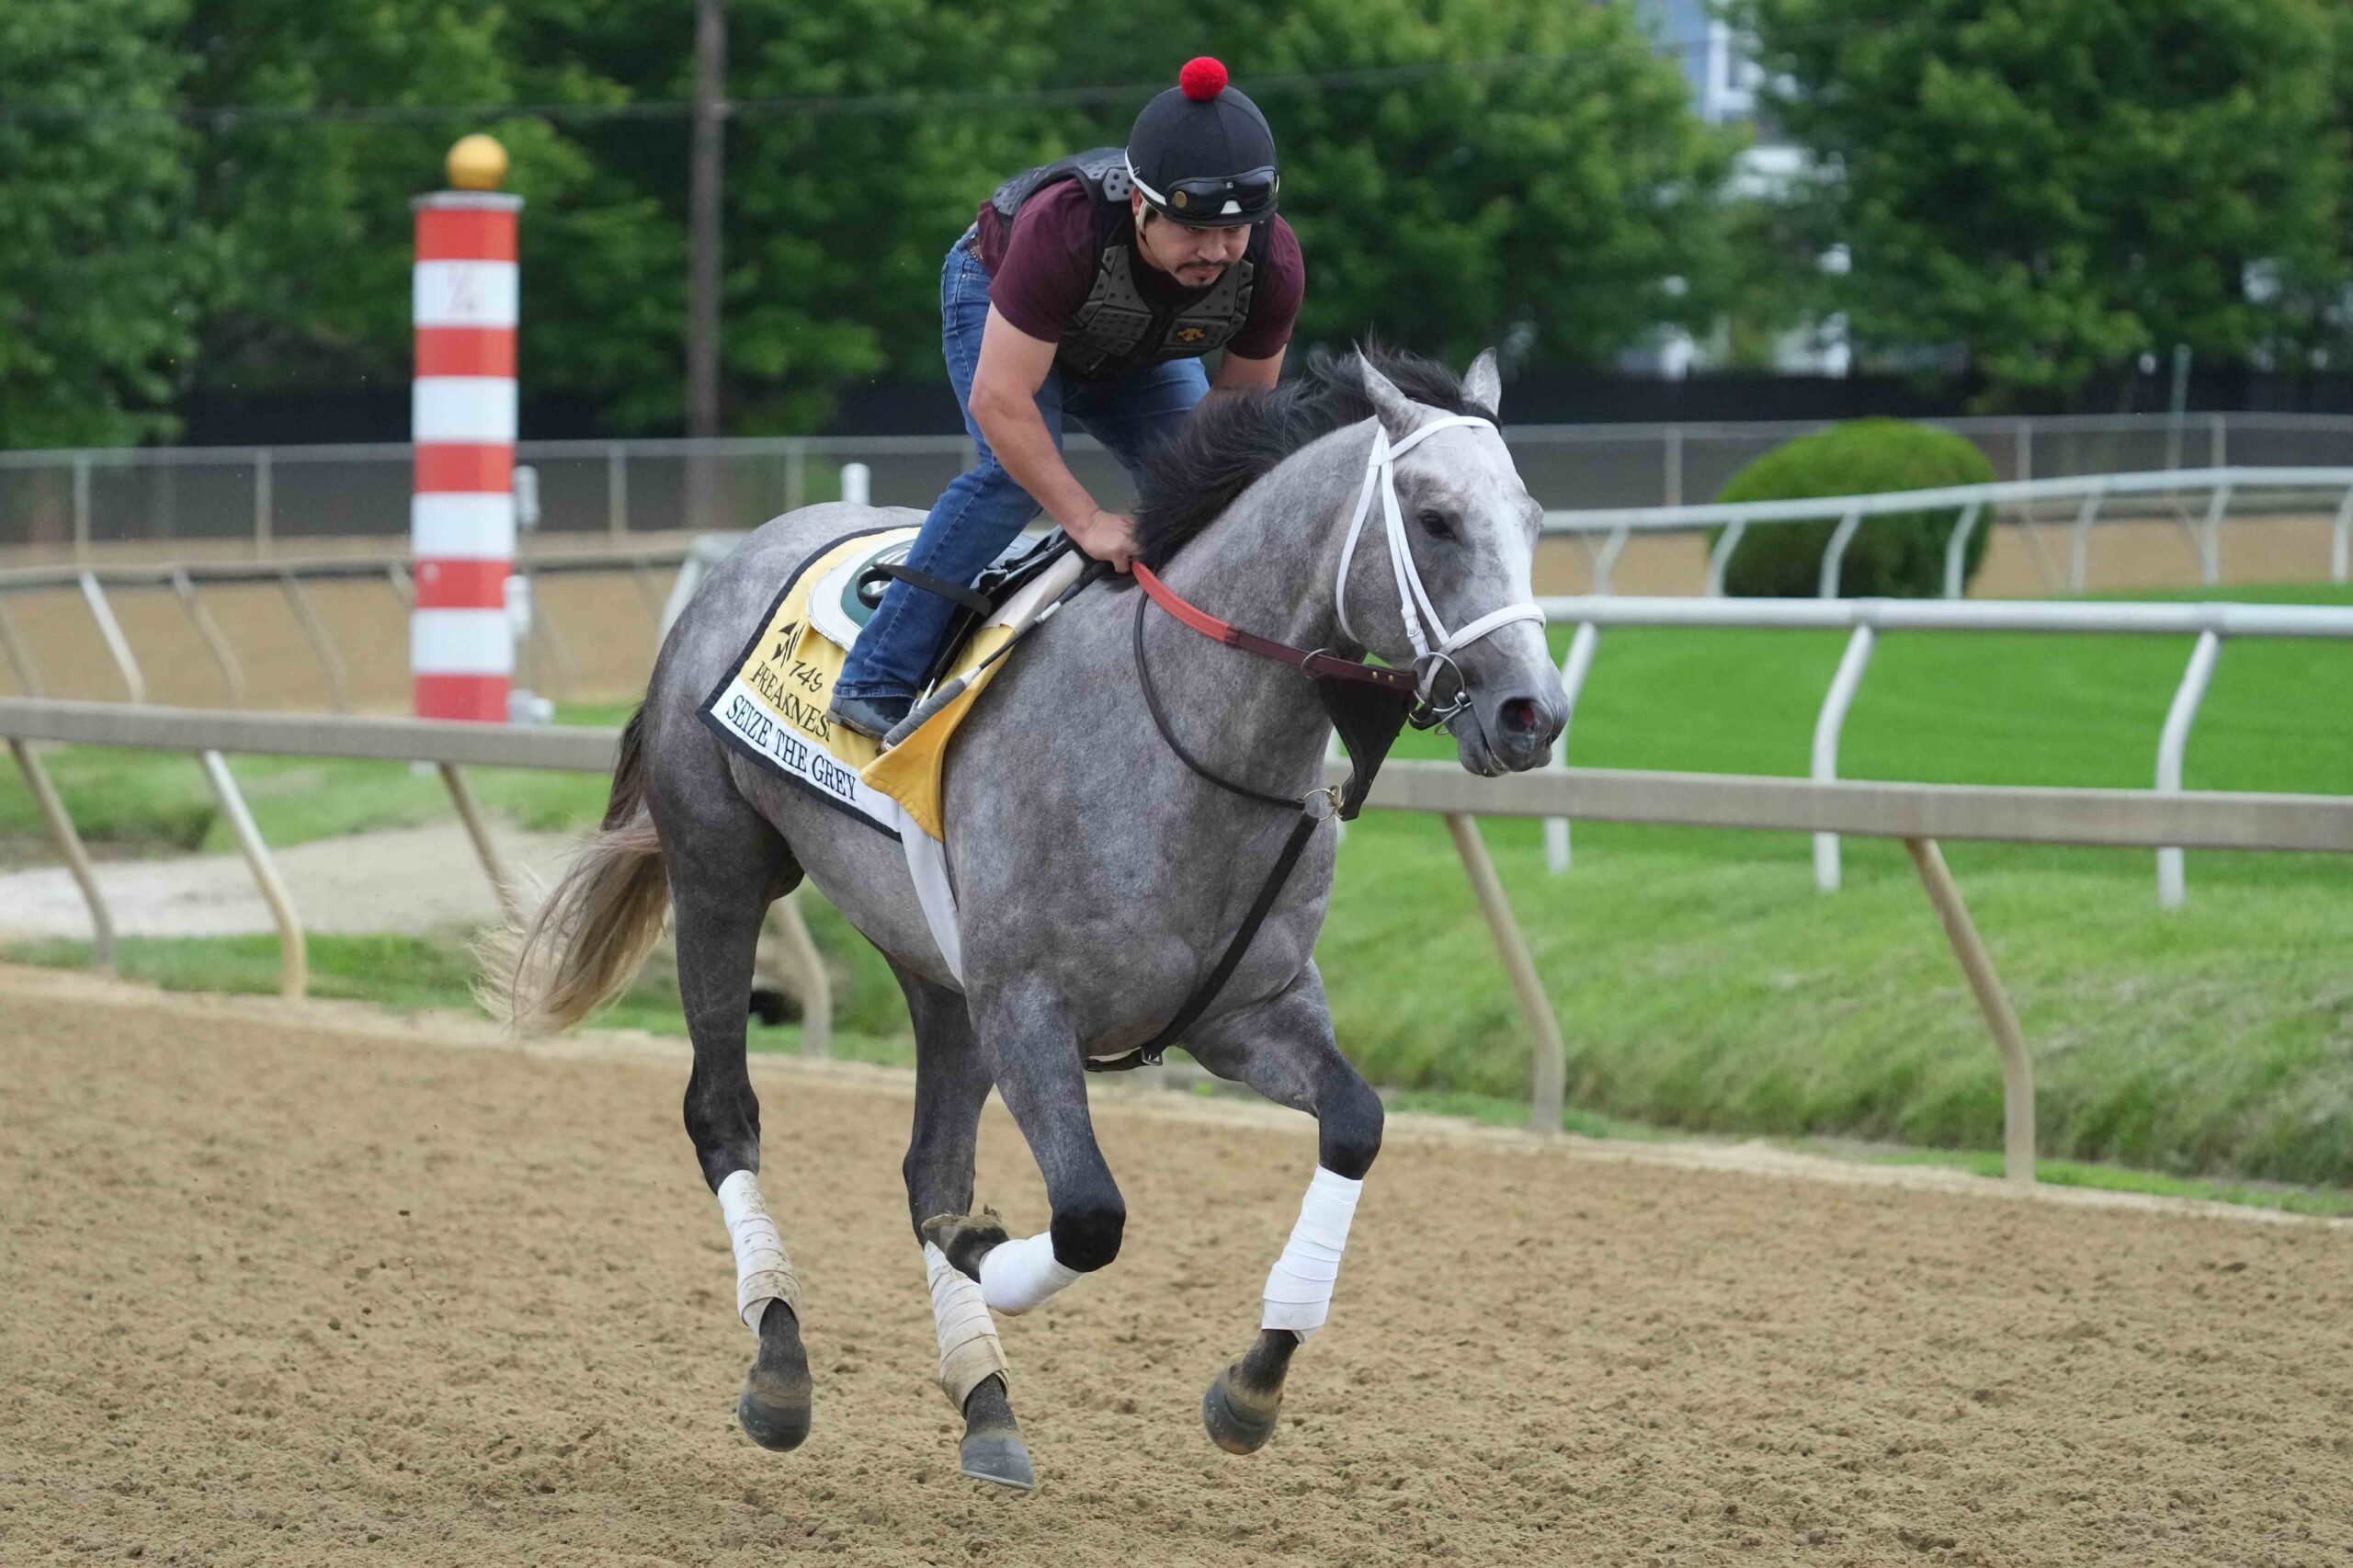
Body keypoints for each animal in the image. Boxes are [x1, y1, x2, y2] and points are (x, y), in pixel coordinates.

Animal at [482, 348, 1562, 1487]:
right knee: (722, 1112)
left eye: (1532, 517)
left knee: (930, 1162)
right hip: (721, 870)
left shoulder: (1247, 1011)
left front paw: (1252, 1383)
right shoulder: (1028, 1010)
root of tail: (746, 553)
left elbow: (1355, 1122)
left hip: (934, 969)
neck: (1182, 740)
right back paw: (780, 1360)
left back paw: (985, 1399)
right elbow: (1089, 1216)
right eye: (1437, 519)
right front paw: (980, 1247)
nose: (1534, 713)